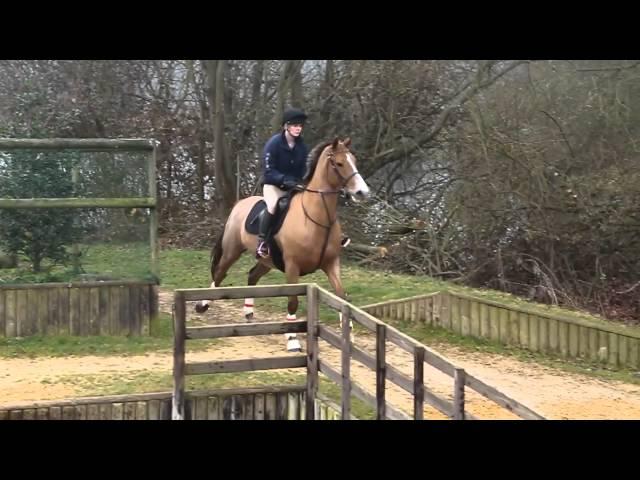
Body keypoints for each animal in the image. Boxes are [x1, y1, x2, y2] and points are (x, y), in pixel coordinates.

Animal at [194, 137, 370, 350]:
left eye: (354, 160)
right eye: (339, 163)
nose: (362, 192)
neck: (315, 218)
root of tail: (239, 204)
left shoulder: (331, 264)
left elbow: (342, 298)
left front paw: (349, 336)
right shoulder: (292, 267)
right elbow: (293, 301)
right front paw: (292, 338)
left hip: (267, 260)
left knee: (252, 276)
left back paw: (248, 312)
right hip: (232, 250)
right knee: (220, 273)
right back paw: (203, 304)